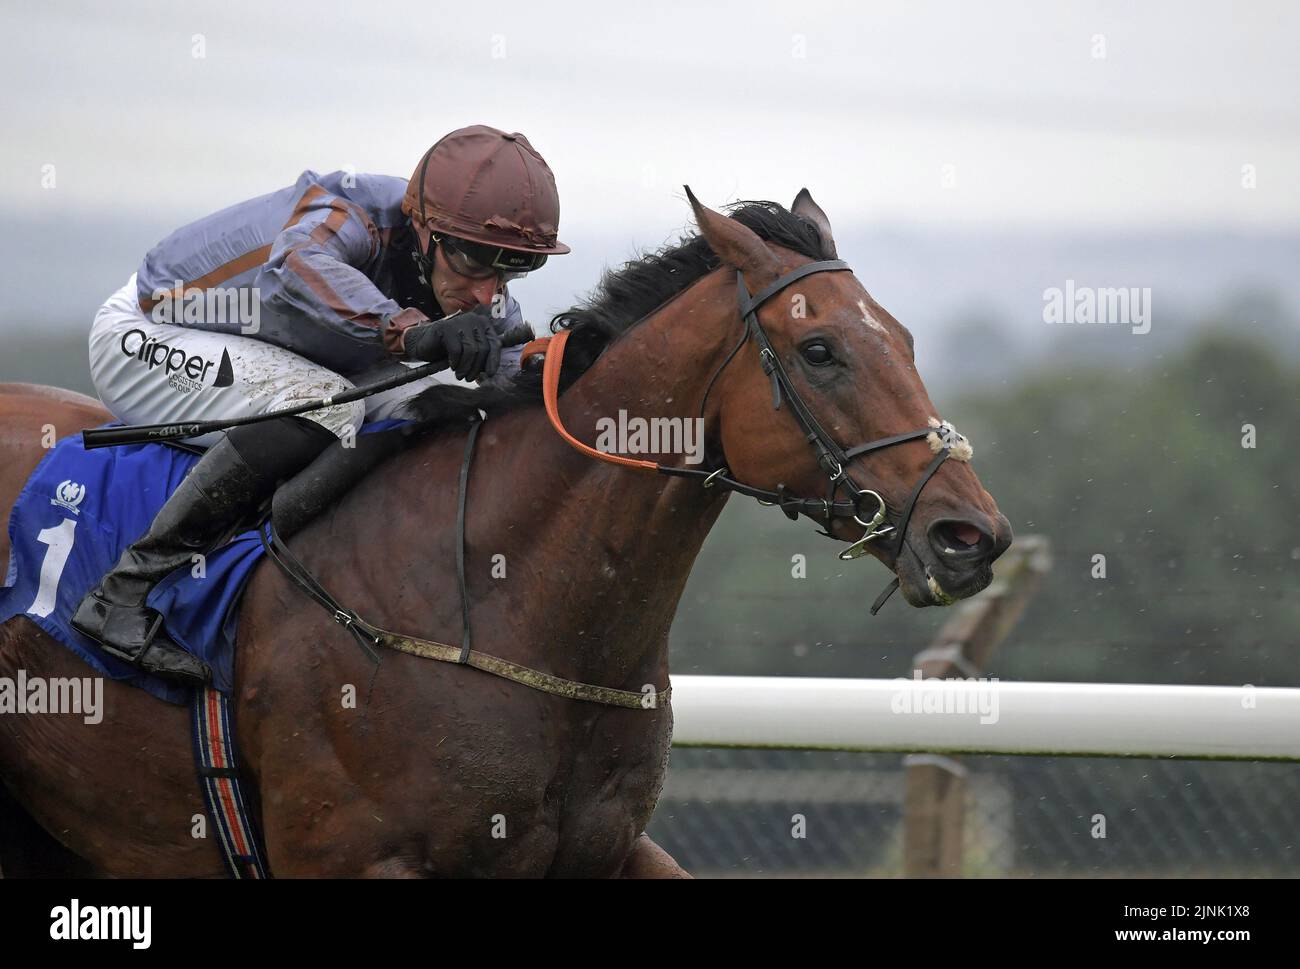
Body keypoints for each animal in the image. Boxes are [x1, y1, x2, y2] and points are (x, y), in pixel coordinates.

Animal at [0, 188, 1008, 879]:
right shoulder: (349, 856)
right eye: (819, 350)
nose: (970, 536)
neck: (509, 600)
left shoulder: (607, 848)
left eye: (906, 338)